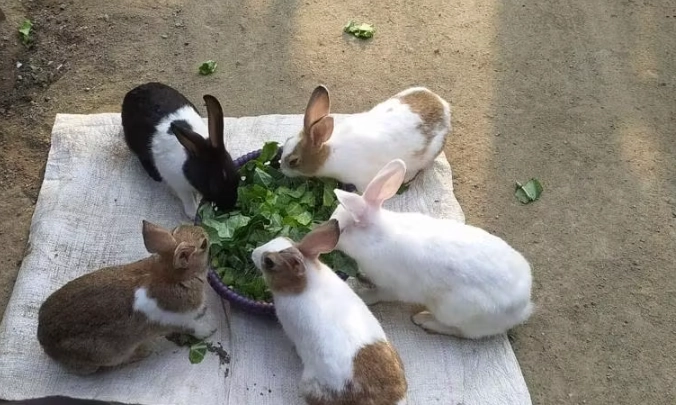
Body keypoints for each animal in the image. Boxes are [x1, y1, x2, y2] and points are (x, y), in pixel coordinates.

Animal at [36, 220, 217, 375]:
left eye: (176, 230)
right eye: (203, 244)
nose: (204, 231)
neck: (172, 276)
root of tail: (44, 341)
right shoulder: (179, 320)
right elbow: (195, 328)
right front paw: (210, 330)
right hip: (107, 354)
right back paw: (143, 352)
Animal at [121, 82, 239, 218]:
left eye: (236, 174)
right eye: (213, 186)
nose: (230, 205)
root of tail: (131, 93)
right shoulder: (178, 184)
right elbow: (187, 199)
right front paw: (193, 213)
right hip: (134, 141)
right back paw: (154, 175)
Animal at [279, 84, 451, 192]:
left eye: (293, 161)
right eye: (287, 140)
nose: (281, 169)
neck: (329, 152)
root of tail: (444, 106)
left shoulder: (362, 180)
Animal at [330, 159, 534, 339]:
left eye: (342, 230)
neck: (377, 238)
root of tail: (522, 308)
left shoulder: (391, 286)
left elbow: (380, 294)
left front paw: (363, 295)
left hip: (452, 311)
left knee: (463, 333)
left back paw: (424, 320)